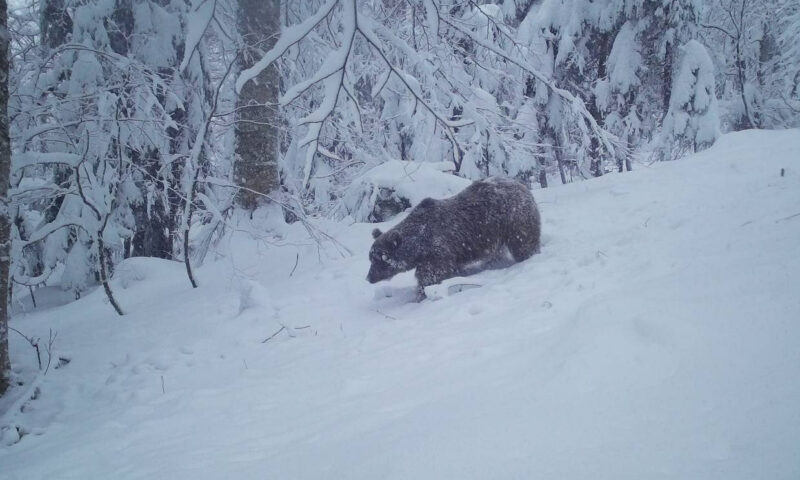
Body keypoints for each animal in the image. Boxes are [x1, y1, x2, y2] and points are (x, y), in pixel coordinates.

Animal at [366, 176, 540, 296]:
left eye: (380, 259)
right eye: (371, 258)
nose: (369, 278)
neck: (419, 245)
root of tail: (521, 185)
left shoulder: (437, 252)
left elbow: (431, 276)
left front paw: (422, 294)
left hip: (514, 221)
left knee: (523, 243)